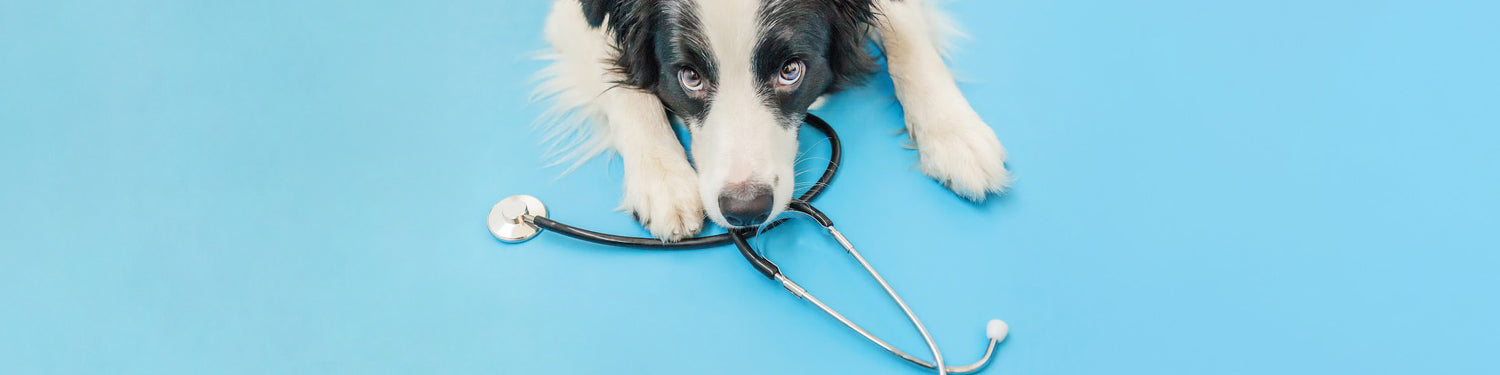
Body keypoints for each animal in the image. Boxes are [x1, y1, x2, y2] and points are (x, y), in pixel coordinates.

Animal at [534, 0, 1014, 240]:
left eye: (790, 71)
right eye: (689, 76)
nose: (746, 210)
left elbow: (907, 37)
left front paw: (956, 134)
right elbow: (622, 86)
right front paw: (664, 181)